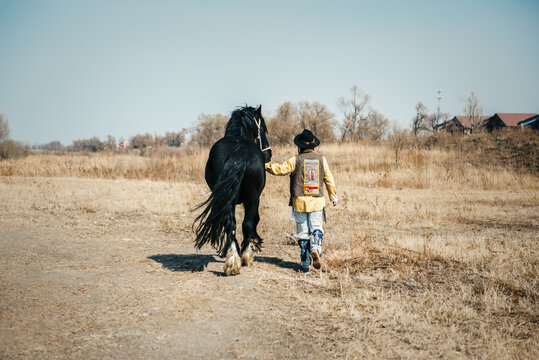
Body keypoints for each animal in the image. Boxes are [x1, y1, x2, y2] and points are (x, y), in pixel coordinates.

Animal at [192, 105, 272, 276]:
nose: (268, 154)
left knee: (231, 224)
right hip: (252, 198)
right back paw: (244, 256)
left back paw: (232, 260)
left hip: (229, 200)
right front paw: (255, 242)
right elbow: (255, 220)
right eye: (263, 128)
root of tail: (240, 148)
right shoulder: (255, 198)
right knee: (245, 224)